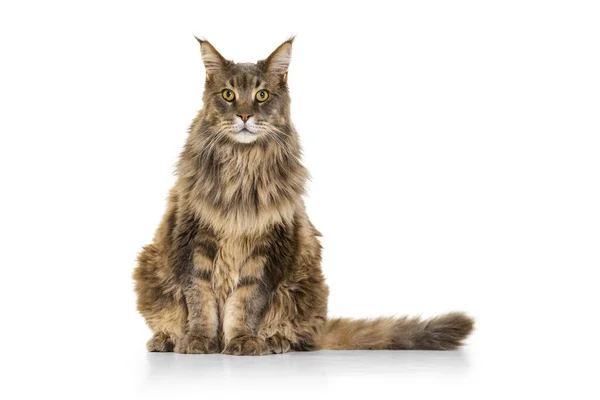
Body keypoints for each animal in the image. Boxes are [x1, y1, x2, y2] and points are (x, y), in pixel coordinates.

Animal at [132, 39, 474, 354]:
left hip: (305, 286)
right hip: (150, 265)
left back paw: (273, 341)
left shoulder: (268, 247)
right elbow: (200, 301)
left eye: (261, 95)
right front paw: (199, 341)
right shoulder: (192, 240)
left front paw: (241, 340)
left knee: (301, 335)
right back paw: (166, 340)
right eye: (228, 95)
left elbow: (245, 303)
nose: (244, 115)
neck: (241, 166)